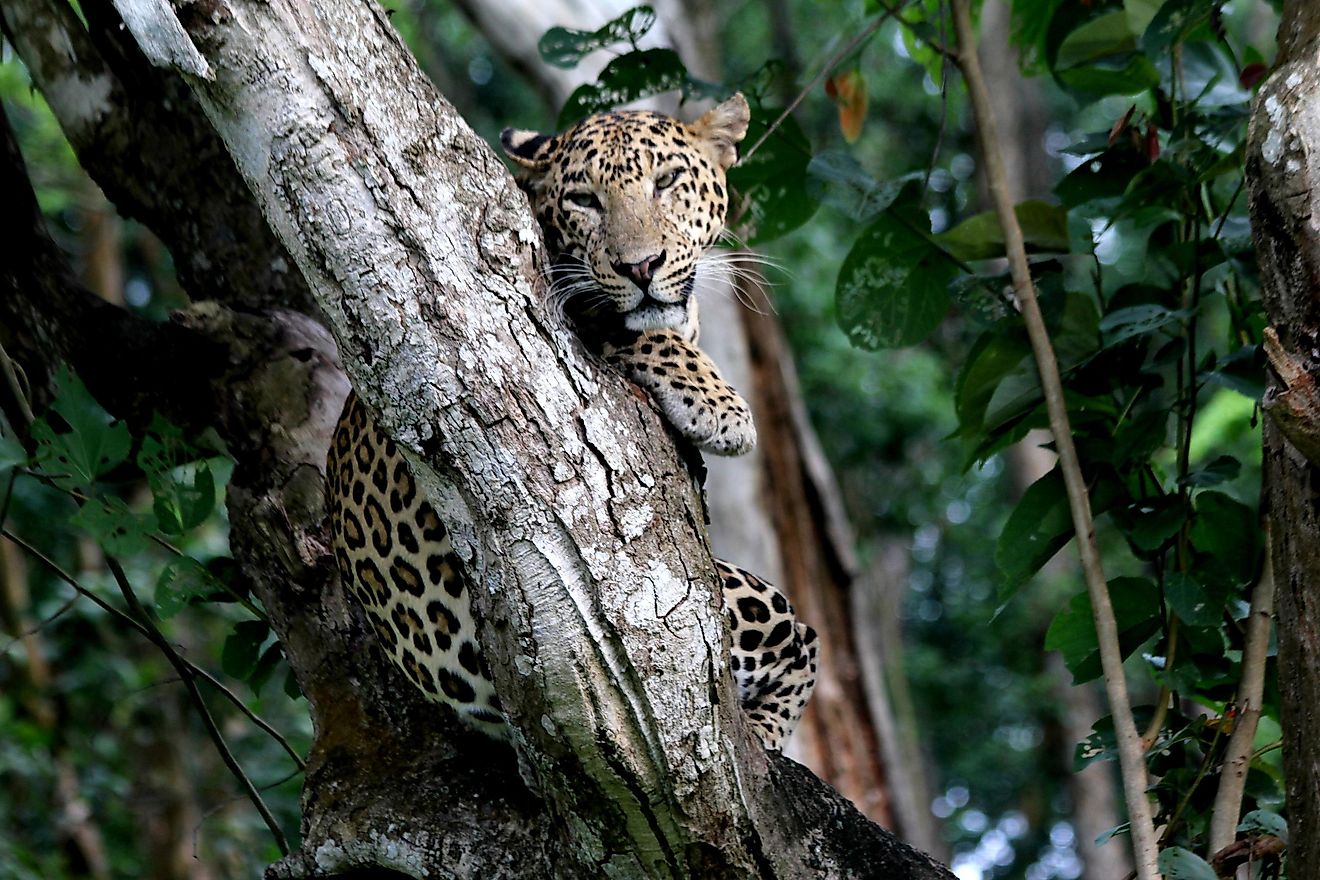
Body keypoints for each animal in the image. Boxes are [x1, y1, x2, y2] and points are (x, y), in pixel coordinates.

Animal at [326, 93, 818, 749]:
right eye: (585, 200)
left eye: (668, 182)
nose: (642, 267)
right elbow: (636, 329)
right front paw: (722, 409)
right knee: (801, 634)